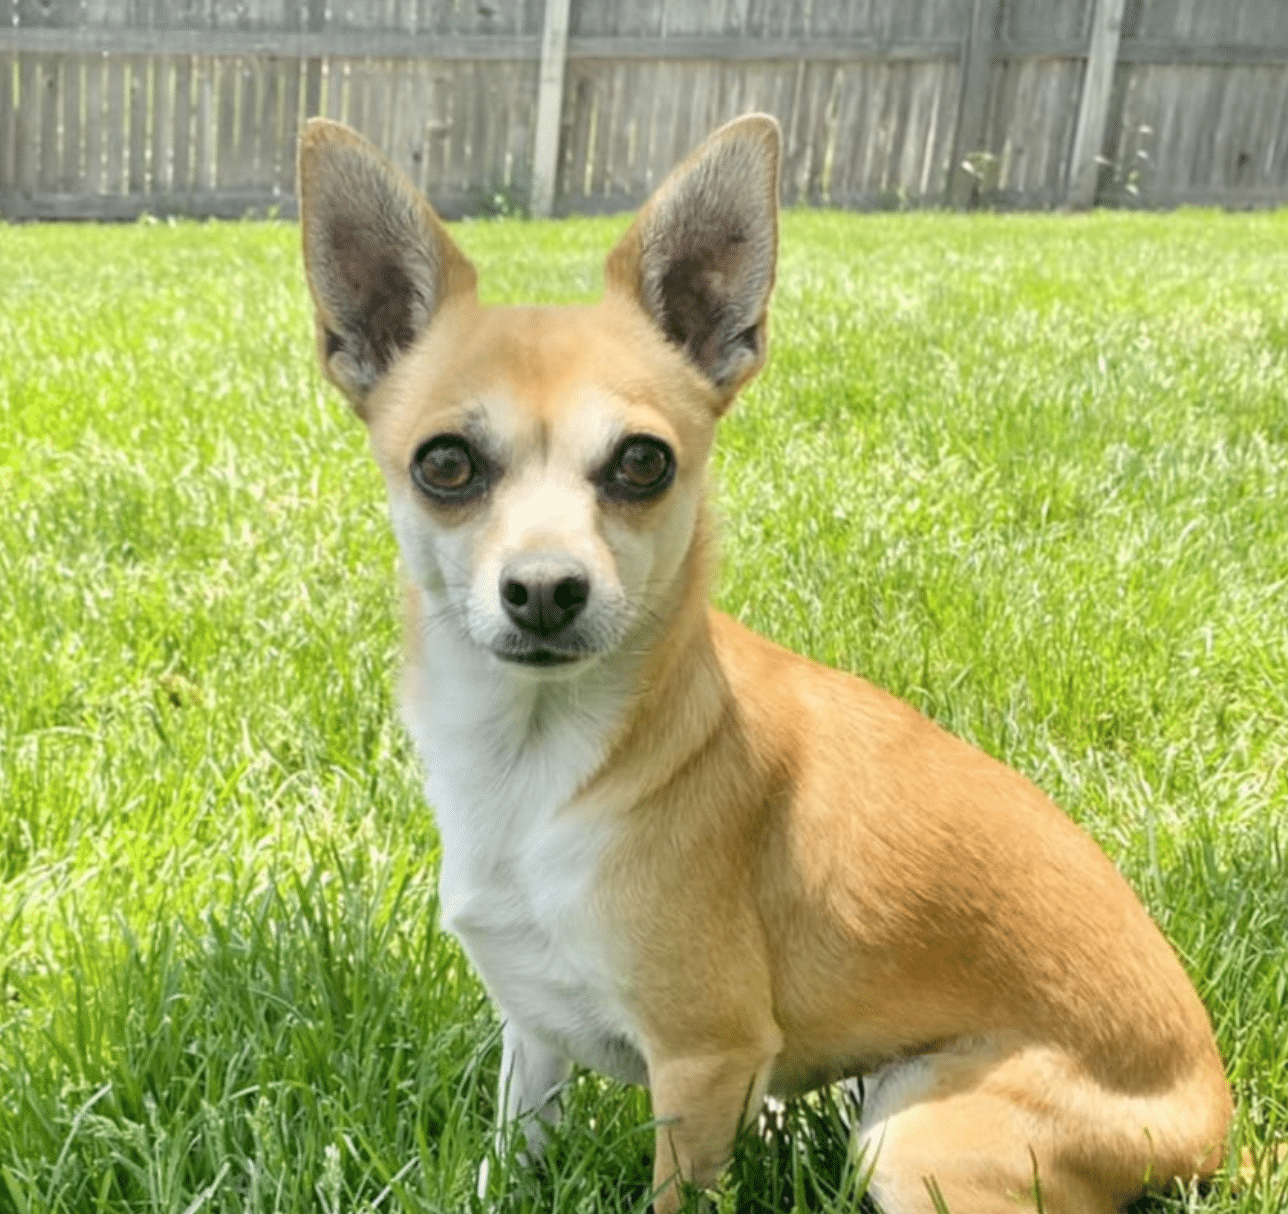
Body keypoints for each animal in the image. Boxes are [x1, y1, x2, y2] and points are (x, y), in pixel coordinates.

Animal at [296, 113, 1231, 1214]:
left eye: (643, 462)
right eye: (444, 464)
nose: (546, 588)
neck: (536, 757)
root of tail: (1212, 1118)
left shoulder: (703, 1061)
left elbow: (674, 1190)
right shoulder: (532, 1034)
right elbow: (513, 1141)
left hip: (916, 1138)